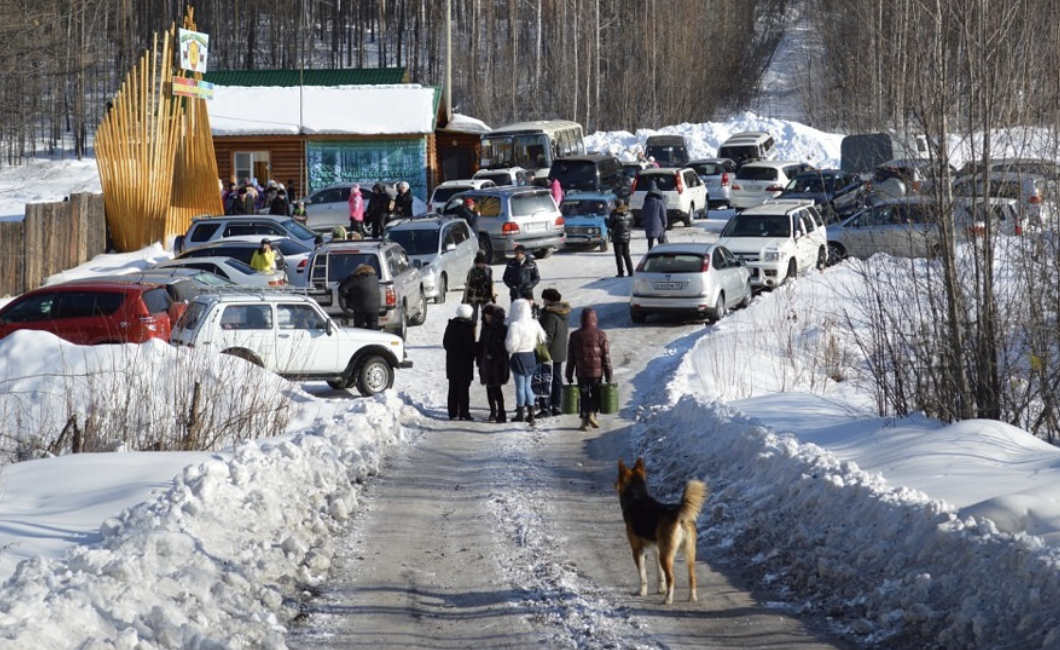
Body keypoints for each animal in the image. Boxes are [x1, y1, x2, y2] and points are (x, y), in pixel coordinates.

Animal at [614, 455, 703, 602]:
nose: (614, 484)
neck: (637, 498)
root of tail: (677, 514)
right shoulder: (656, 549)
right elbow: (660, 574)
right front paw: (661, 589)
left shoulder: (637, 549)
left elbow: (643, 575)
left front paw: (642, 592)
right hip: (688, 553)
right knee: (692, 577)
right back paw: (692, 597)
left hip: (666, 555)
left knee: (671, 578)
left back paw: (668, 600)